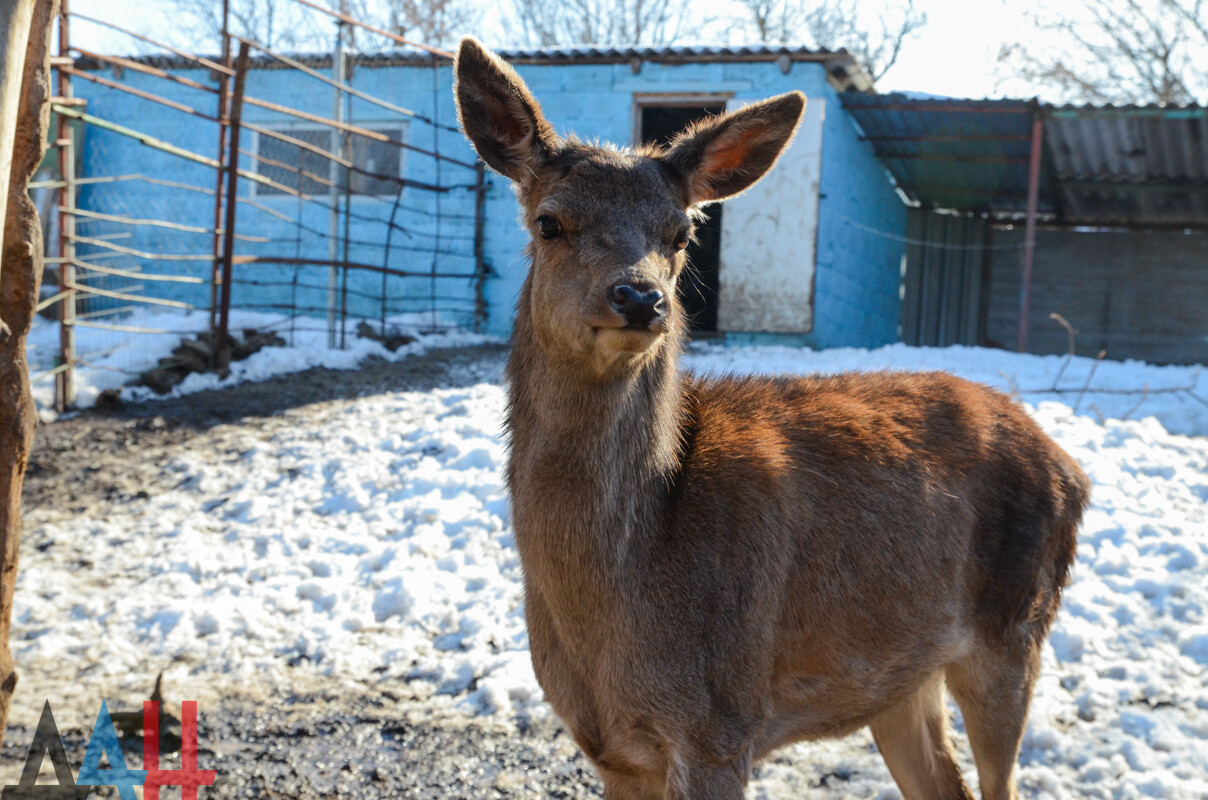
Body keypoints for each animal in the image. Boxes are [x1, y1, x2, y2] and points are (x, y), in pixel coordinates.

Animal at [454, 36, 1096, 800]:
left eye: (682, 232)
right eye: (549, 221)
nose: (640, 298)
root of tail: (1072, 467)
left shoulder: (721, 723)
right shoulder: (610, 746)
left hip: (1015, 629)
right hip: (899, 674)